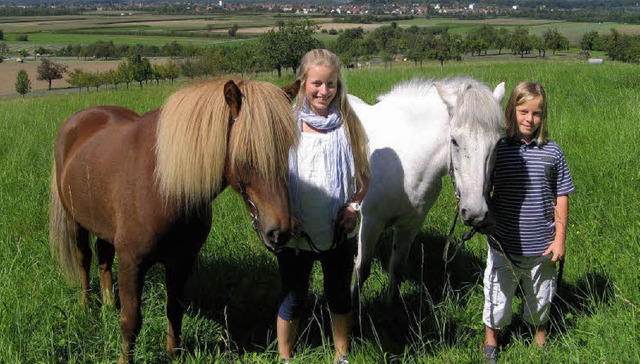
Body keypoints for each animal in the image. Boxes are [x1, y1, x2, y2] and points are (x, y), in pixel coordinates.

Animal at [50, 78, 300, 362]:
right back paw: (86, 304)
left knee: (103, 255)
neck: (163, 185)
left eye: (288, 151)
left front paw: (173, 354)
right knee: (84, 259)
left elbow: (174, 310)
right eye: (246, 155)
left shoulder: (181, 260)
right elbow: (131, 321)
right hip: (75, 223)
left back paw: (108, 303)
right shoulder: (131, 262)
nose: (280, 231)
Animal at [350, 77, 504, 304]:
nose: (476, 213)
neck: (407, 160)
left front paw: (391, 306)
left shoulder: (411, 224)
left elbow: (397, 268)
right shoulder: (371, 222)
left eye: (497, 144)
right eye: (454, 141)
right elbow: (362, 270)